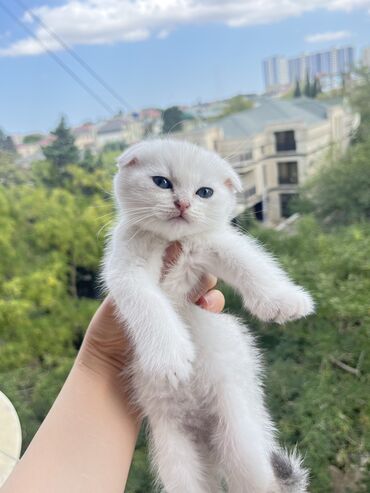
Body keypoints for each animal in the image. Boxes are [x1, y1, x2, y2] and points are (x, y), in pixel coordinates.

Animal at [102, 138, 314, 492]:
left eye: (204, 192)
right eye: (162, 182)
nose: (183, 204)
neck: (170, 242)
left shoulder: (212, 244)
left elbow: (249, 261)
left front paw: (283, 301)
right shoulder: (126, 271)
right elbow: (148, 303)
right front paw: (169, 356)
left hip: (239, 433)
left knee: (256, 480)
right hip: (176, 453)